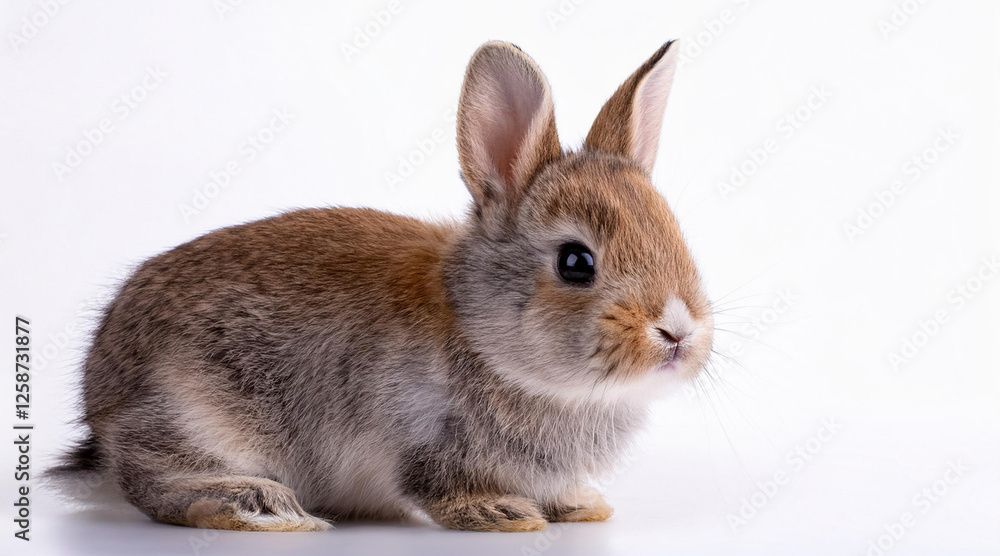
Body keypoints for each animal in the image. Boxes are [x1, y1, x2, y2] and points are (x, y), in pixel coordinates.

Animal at [48, 39, 714, 533]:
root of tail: (101, 399)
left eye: (676, 236)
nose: (678, 332)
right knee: (151, 479)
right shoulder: (416, 436)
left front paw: (581, 505)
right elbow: (437, 484)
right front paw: (503, 514)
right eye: (576, 263)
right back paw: (262, 507)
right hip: (194, 412)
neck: (485, 338)